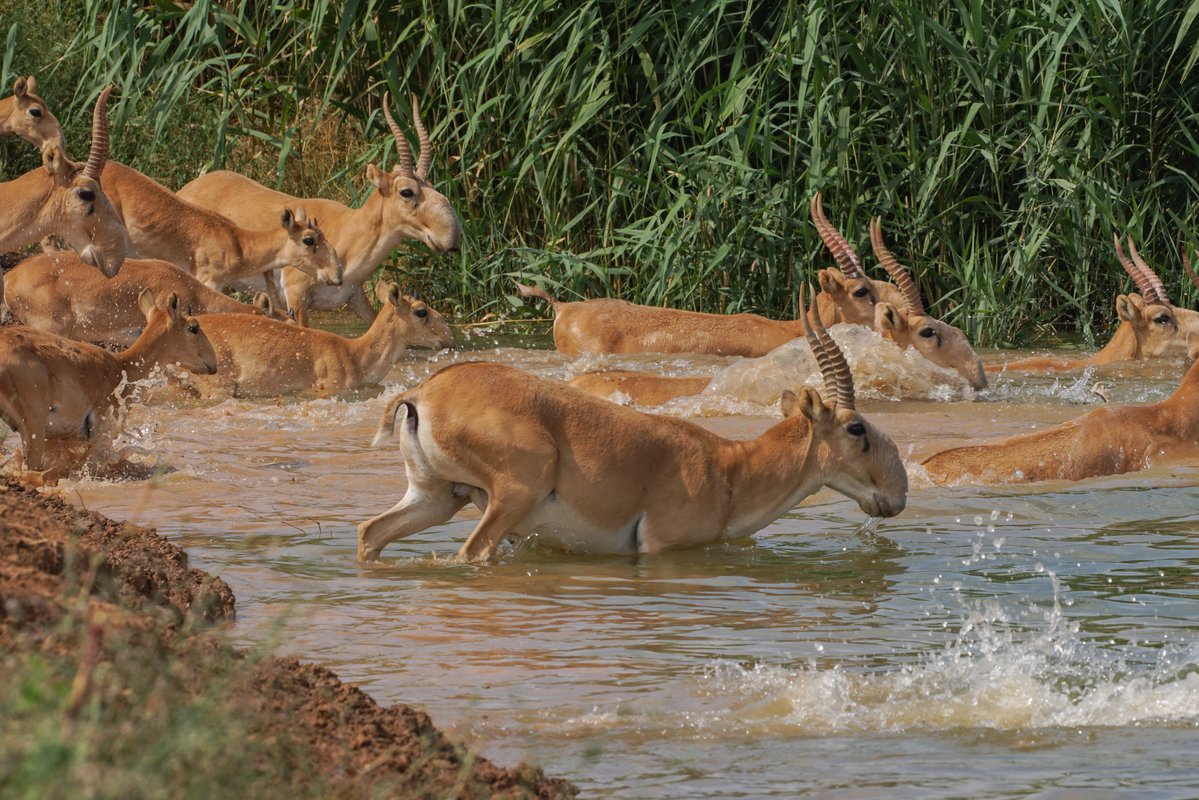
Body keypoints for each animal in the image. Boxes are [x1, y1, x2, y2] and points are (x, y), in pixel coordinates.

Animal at [175, 95, 460, 326]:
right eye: (406, 192)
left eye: (431, 184)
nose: (452, 239)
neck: (348, 231)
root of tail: (184, 190)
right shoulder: (296, 296)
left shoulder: (355, 297)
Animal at [357, 289, 906, 563]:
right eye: (857, 428)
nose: (896, 496)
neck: (729, 469)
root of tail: (422, 394)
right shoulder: (660, 548)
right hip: (511, 495)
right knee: (470, 553)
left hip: (436, 497)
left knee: (369, 534)